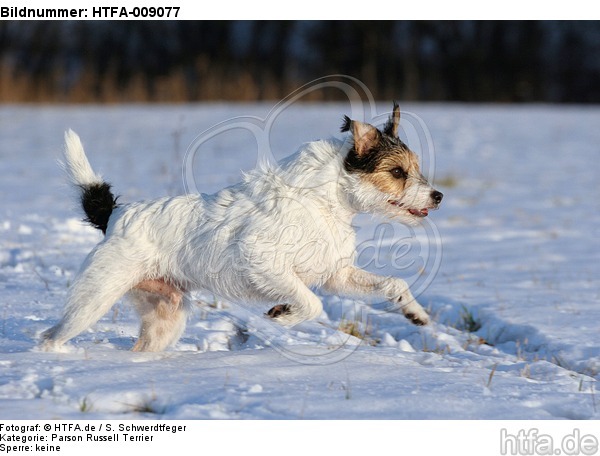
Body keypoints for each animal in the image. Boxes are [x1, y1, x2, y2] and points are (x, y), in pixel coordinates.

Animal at [41, 104, 440, 352]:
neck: (323, 199)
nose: (437, 196)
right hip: (94, 299)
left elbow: (393, 284)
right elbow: (310, 303)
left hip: (164, 316)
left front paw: (416, 314)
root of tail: (115, 216)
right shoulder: (264, 263)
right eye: (397, 172)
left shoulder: (335, 275)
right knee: (50, 336)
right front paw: (284, 317)